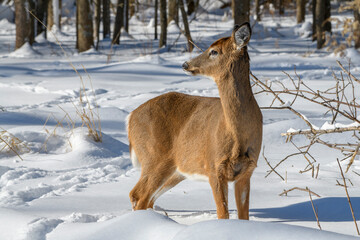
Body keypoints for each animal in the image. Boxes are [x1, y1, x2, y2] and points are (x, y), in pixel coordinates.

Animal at [128, 22, 262, 219]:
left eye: (214, 51)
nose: (185, 64)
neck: (237, 135)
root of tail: (130, 117)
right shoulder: (214, 166)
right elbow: (223, 214)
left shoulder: (247, 171)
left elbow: (243, 216)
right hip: (153, 157)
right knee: (139, 195)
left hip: (176, 170)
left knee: (144, 197)